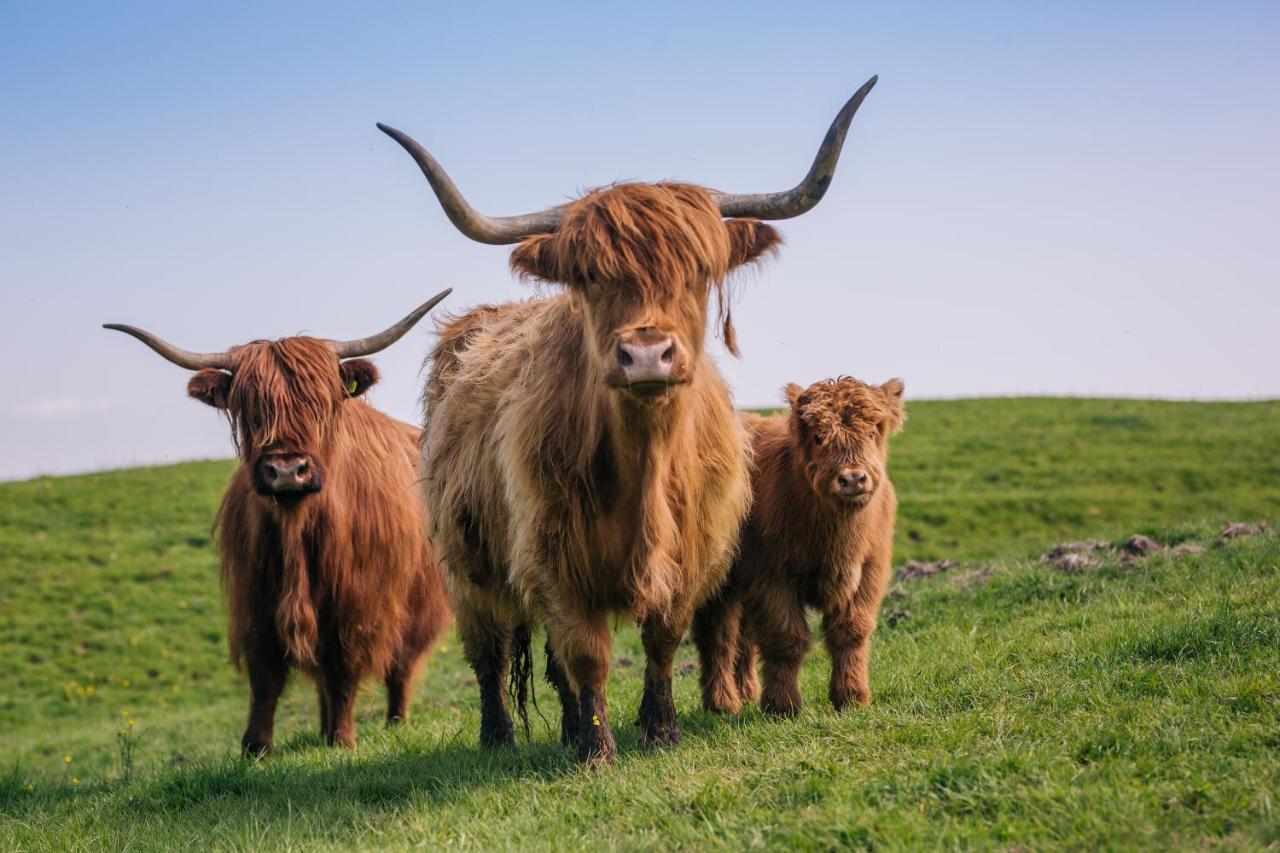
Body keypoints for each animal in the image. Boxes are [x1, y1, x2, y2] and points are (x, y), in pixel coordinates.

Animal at [104, 292, 455, 753]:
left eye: (320, 402)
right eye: (250, 409)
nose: (288, 470)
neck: (296, 530)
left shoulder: (357, 602)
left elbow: (345, 670)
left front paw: (343, 740)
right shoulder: (255, 599)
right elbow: (265, 677)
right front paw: (255, 747)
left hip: (419, 602)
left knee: (401, 664)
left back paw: (394, 720)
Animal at [378, 76, 880, 758]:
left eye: (698, 271)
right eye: (589, 274)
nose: (646, 353)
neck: (646, 464)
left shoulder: (691, 553)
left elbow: (659, 641)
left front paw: (658, 728)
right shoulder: (554, 557)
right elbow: (587, 654)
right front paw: (599, 751)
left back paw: (567, 729)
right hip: (464, 565)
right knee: (490, 653)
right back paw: (500, 738)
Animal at [696, 376, 906, 712]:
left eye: (873, 432)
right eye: (819, 437)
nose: (852, 479)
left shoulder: (869, 572)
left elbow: (850, 632)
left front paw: (851, 696)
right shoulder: (771, 577)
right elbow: (785, 639)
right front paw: (782, 706)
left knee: (744, 637)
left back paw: (747, 691)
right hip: (716, 581)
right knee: (717, 637)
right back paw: (722, 702)